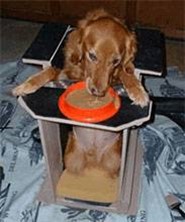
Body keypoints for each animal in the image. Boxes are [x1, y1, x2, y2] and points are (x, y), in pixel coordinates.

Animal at [12, 9, 149, 178]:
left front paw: (138, 90)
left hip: (114, 159)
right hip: (72, 158)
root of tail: (93, 156)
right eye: (92, 56)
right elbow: (49, 71)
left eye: (116, 61)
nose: (98, 93)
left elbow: (126, 73)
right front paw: (26, 85)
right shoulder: (66, 74)